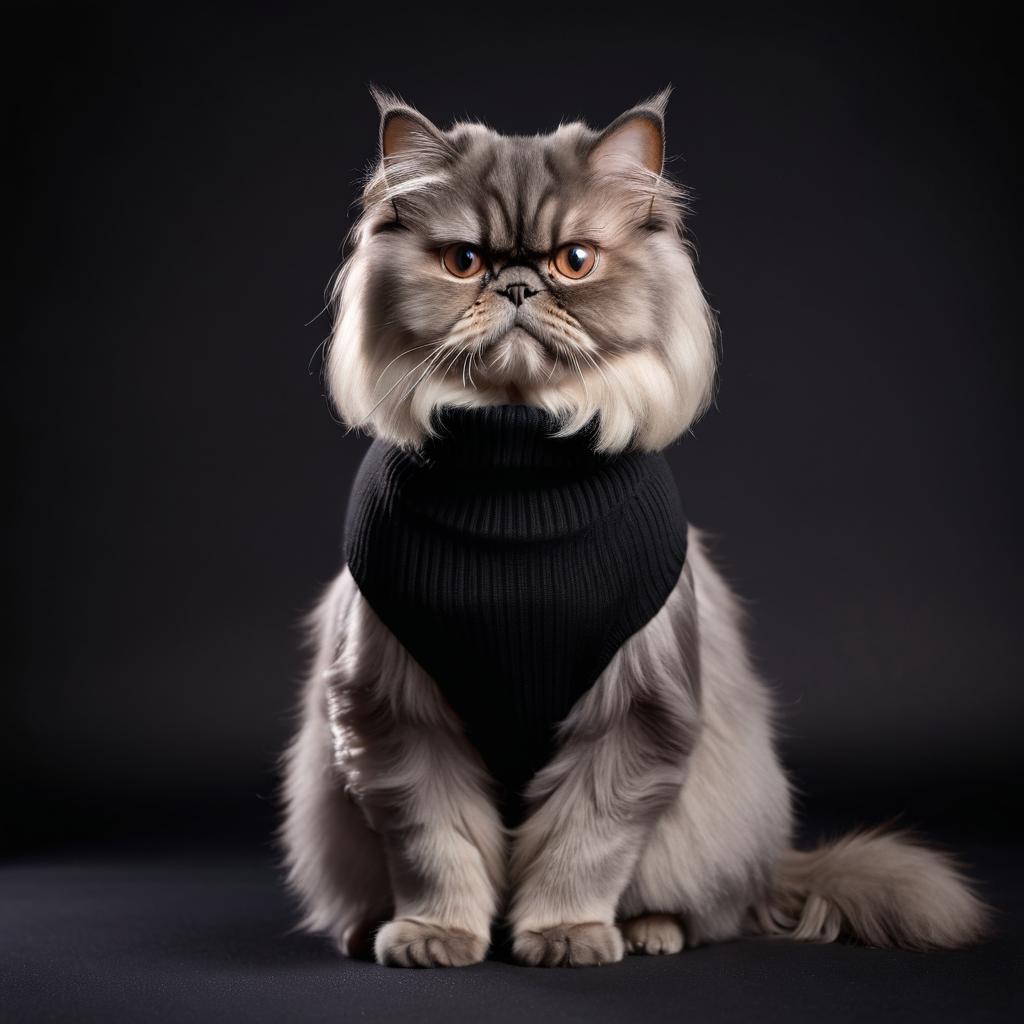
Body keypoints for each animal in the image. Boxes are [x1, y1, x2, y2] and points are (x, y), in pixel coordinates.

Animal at [280, 88, 983, 966]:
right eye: (464, 262)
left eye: (575, 261)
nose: (519, 287)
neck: (515, 482)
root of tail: (772, 870)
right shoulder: (394, 713)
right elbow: (435, 844)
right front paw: (437, 934)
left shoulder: (636, 714)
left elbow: (583, 845)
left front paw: (564, 934)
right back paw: (366, 928)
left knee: (699, 906)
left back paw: (649, 931)